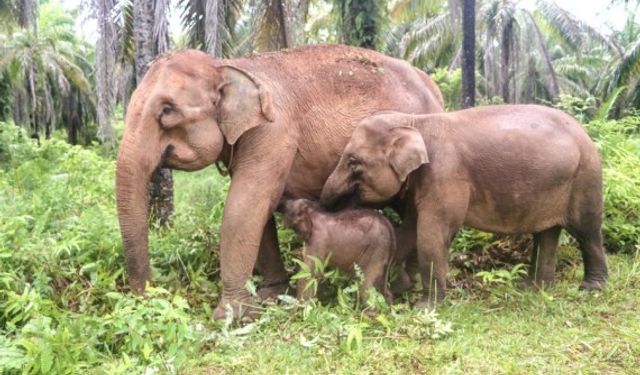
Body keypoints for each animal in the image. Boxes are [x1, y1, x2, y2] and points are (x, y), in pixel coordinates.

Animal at [115, 44, 442, 320]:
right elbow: (259, 210)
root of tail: (435, 90)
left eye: (167, 111)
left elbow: (247, 203)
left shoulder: (273, 131)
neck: (227, 65)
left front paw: (228, 317)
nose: (151, 295)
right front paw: (270, 296)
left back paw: (407, 286)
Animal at [322, 105, 608, 308]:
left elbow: (431, 233)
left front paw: (424, 307)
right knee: (546, 234)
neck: (414, 121)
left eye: (353, 162)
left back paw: (591, 288)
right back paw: (534, 289)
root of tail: (583, 131)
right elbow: (410, 229)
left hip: (586, 176)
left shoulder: (445, 173)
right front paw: (400, 286)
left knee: (587, 231)